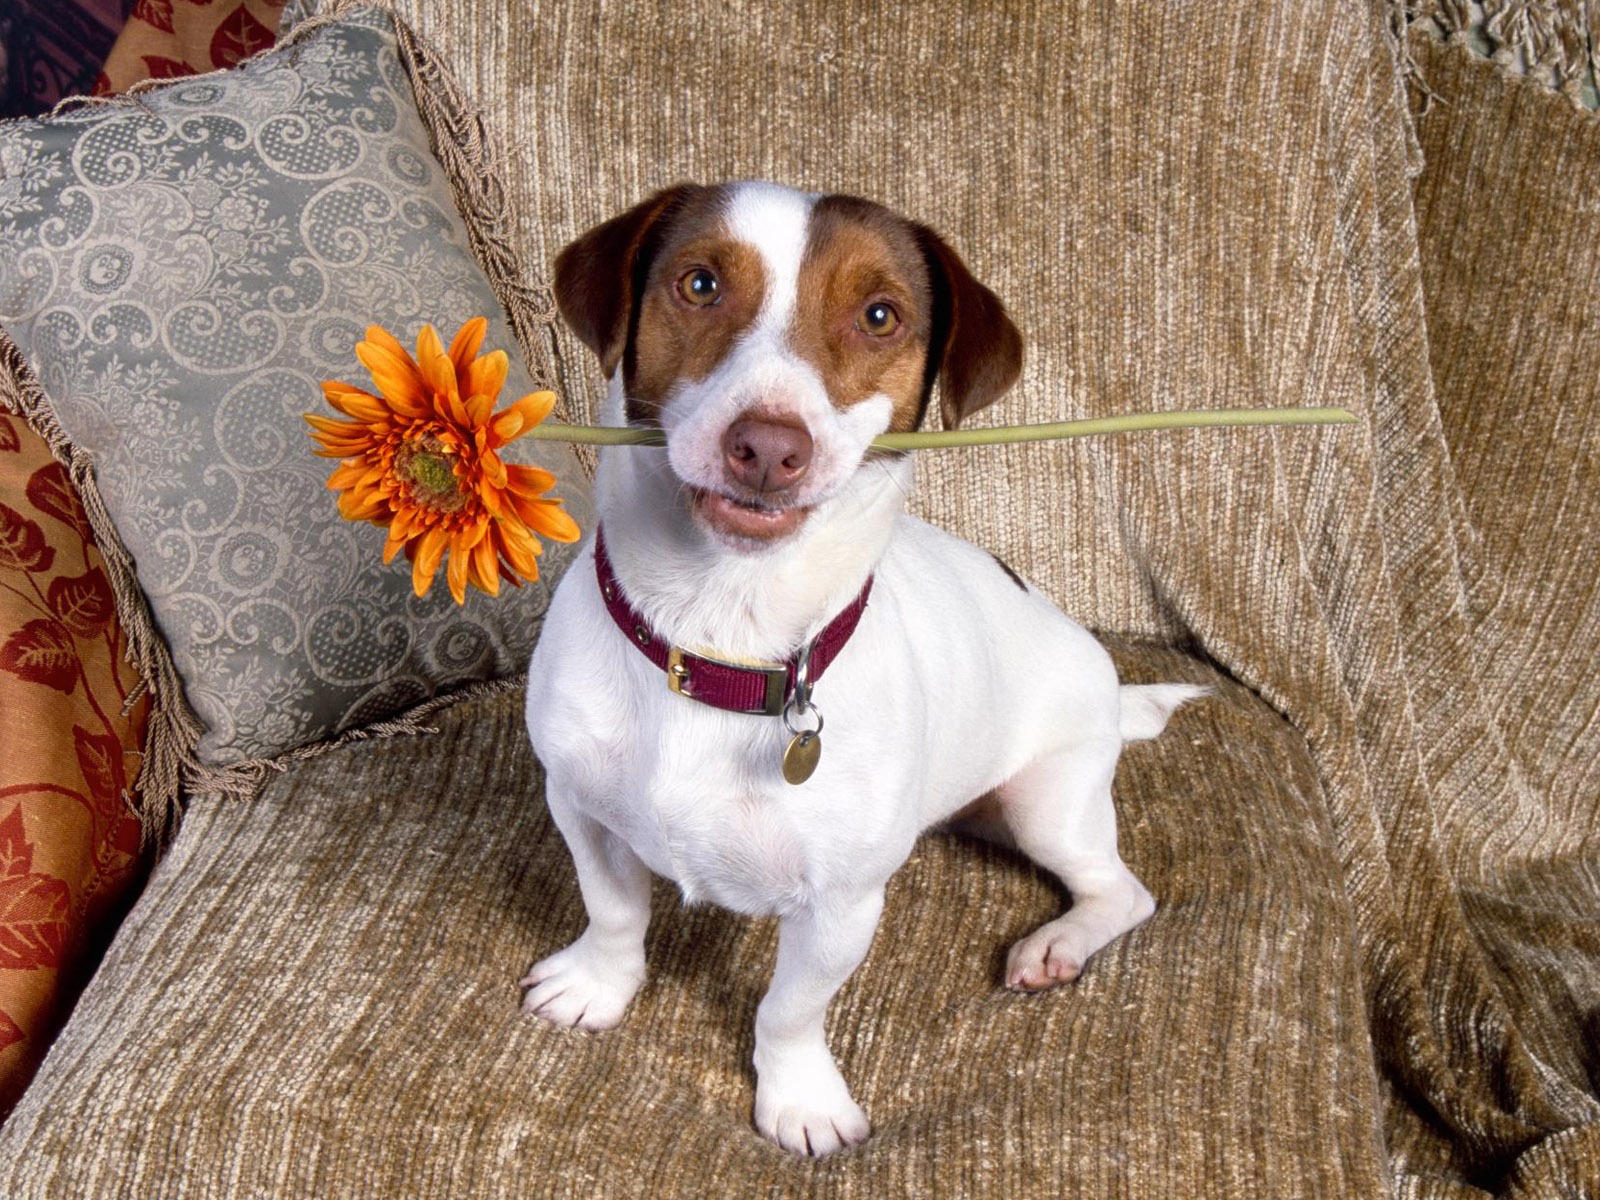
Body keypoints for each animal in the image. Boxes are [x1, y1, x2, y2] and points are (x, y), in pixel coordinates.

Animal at [521, 185, 1203, 1158]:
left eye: (880, 315)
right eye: (700, 283)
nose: (769, 446)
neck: (725, 641)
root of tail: (1105, 675)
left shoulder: (841, 905)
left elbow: (788, 1011)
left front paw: (799, 1097)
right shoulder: (580, 808)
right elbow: (614, 913)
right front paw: (597, 988)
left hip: (1051, 804)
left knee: (1123, 890)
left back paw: (1060, 944)